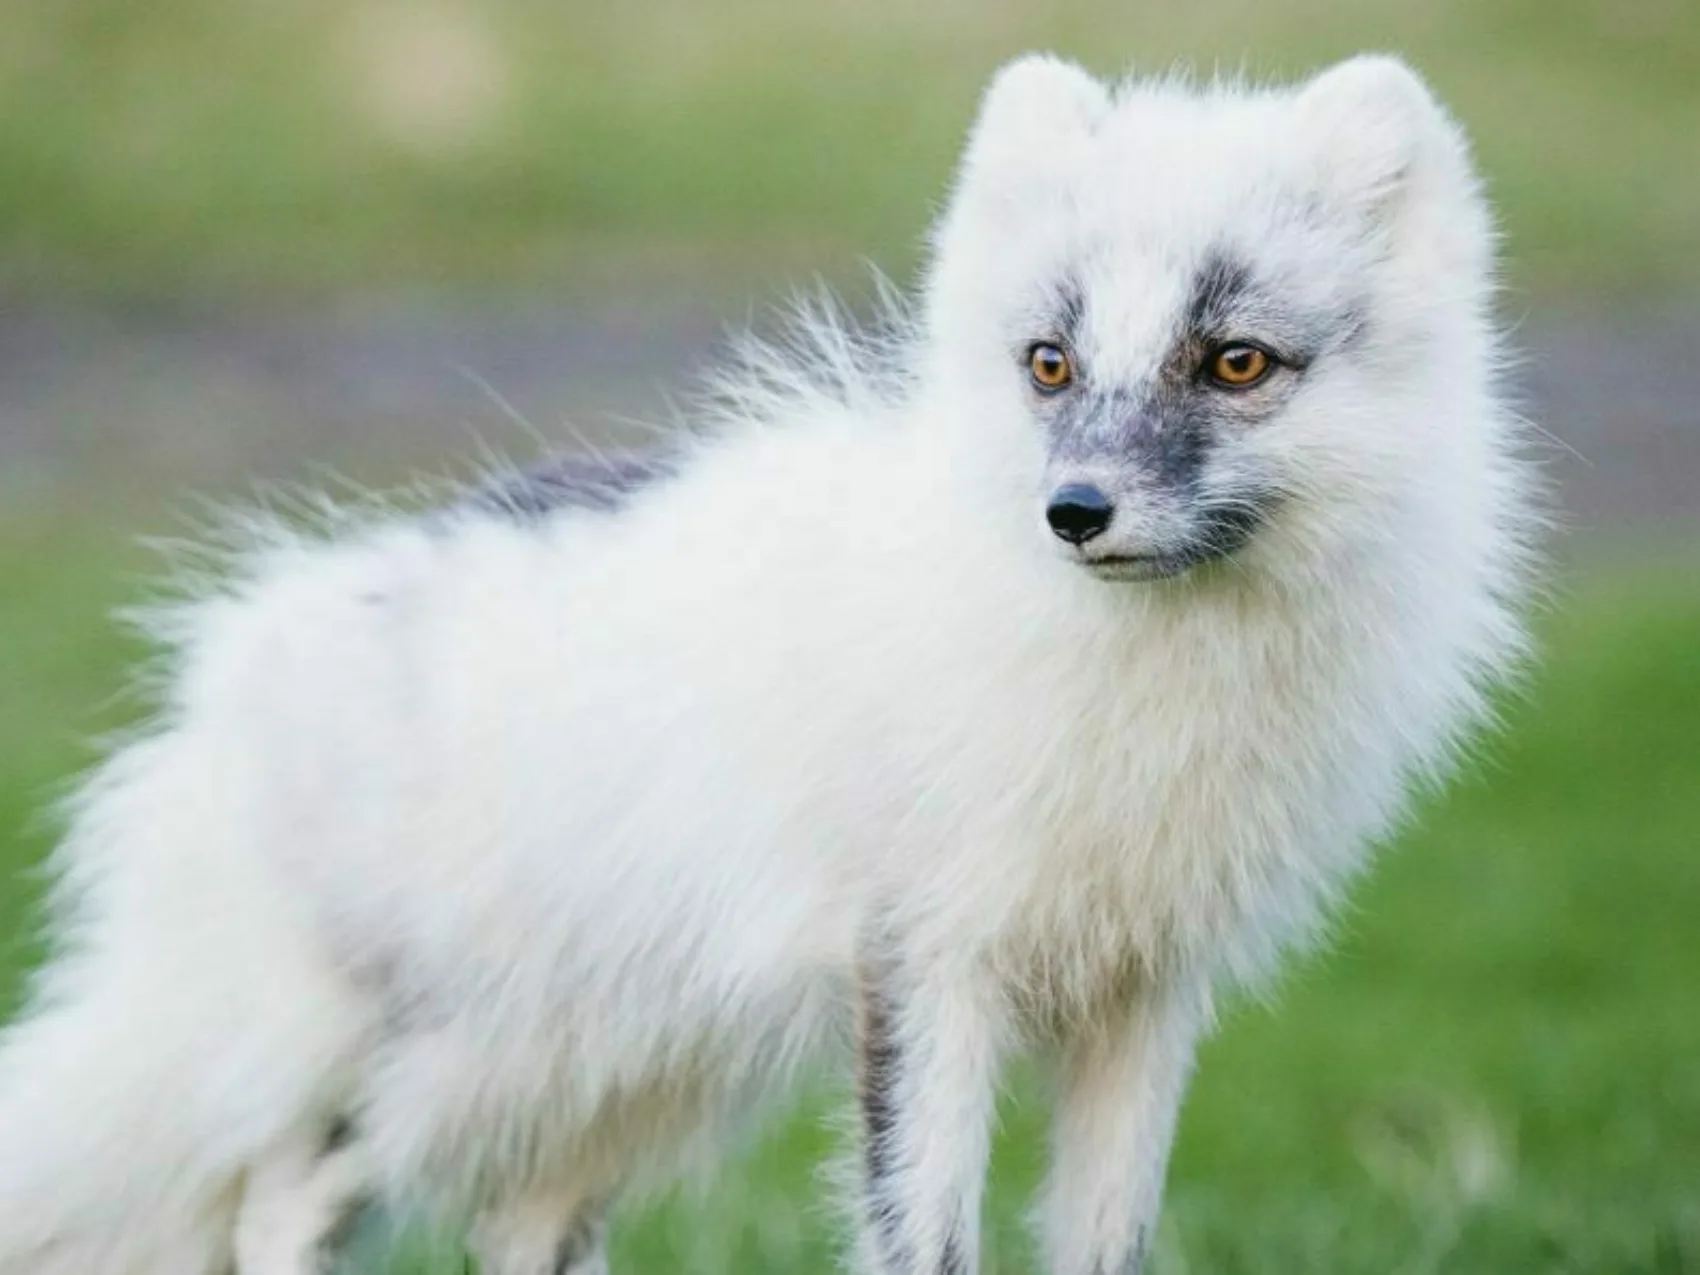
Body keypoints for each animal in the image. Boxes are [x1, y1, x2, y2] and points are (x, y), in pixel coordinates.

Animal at [0, 54, 1543, 1275]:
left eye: (1234, 363)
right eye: (1047, 364)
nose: (1074, 513)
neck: (1141, 681)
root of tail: (230, 678)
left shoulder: (1142, 994)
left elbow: (1109, 1240)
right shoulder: (923, 963)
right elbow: (925, 1234)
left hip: (609, 1067)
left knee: (510, 1228)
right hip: (436, 1058)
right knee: (279, 1196)